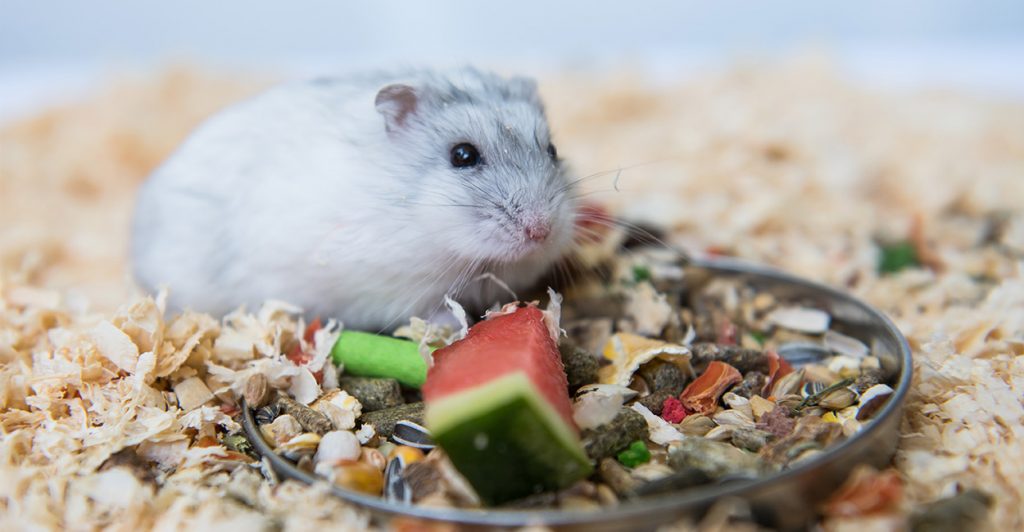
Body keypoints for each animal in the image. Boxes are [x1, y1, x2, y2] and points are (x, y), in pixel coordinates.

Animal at [131, 67, 579, 330]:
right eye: (462, 155)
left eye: (553, 150)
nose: (541, 231)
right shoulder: (385, 289)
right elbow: (425, 309)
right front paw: (453, 325)